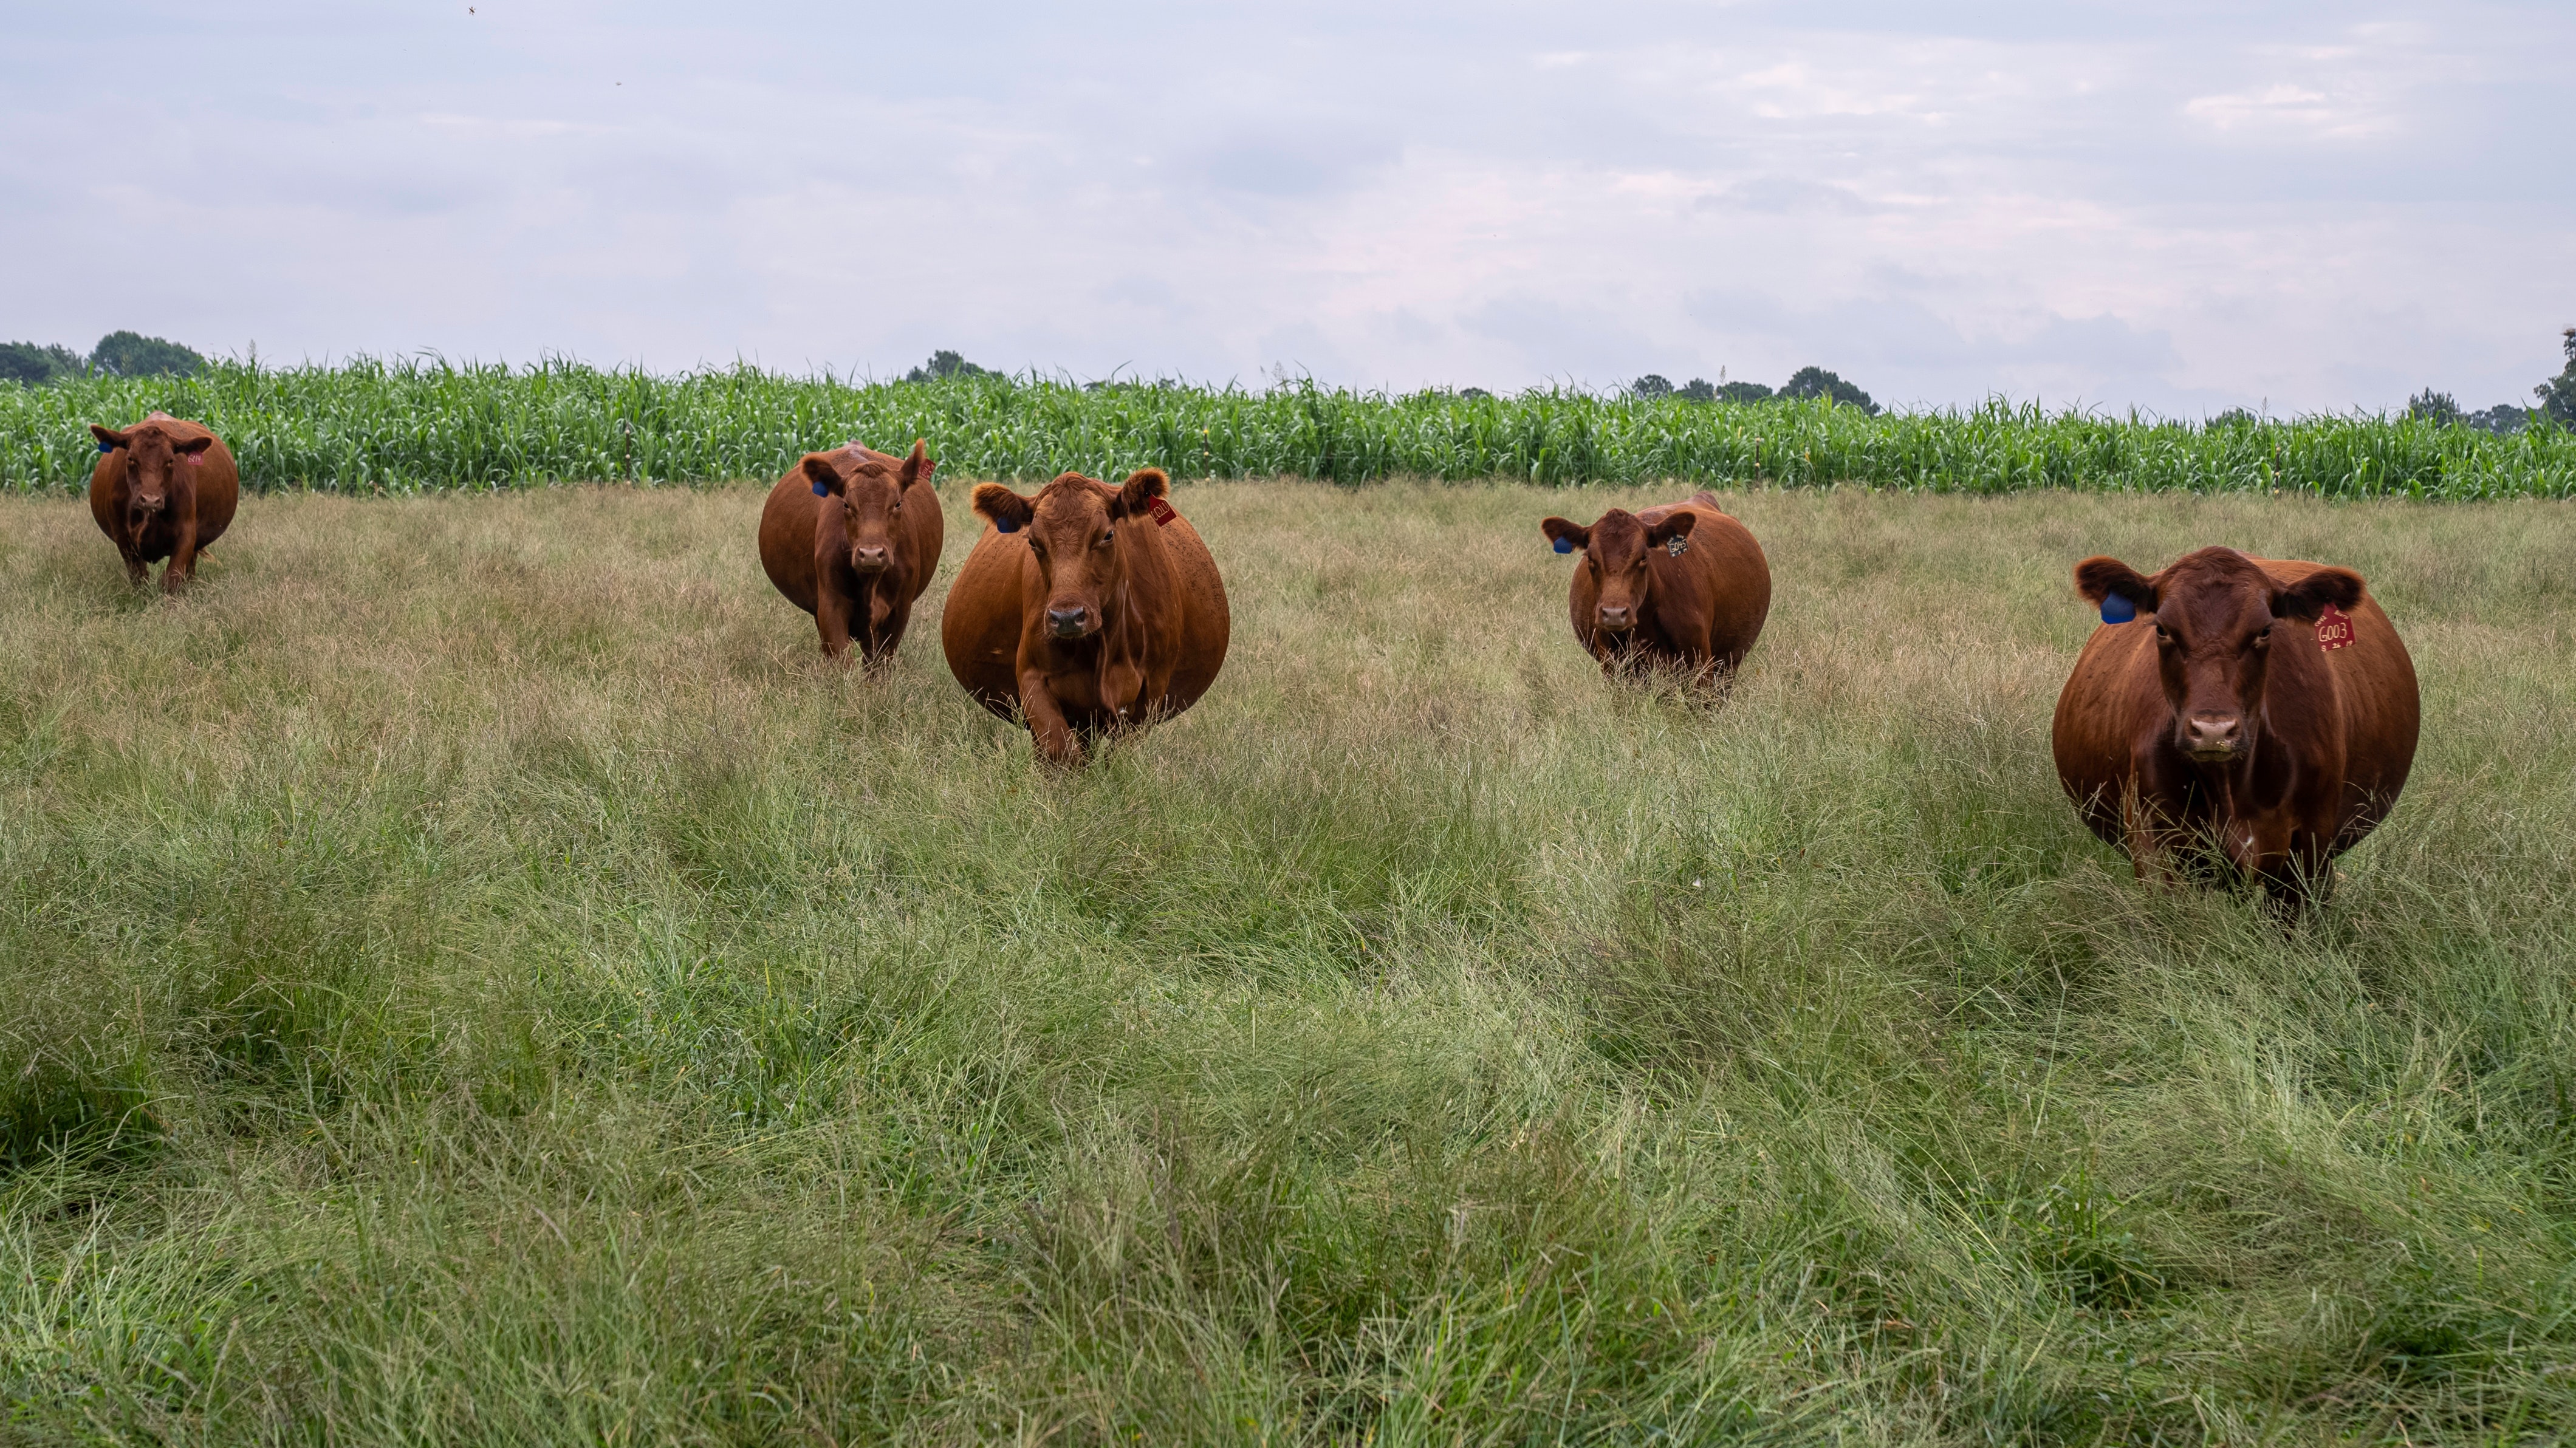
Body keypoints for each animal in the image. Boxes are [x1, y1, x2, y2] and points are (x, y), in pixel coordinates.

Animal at [88, 409, 239, 590]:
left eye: (170, 461)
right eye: (130, 458)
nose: (150, 500)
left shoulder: (187, 534)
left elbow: (172, 579)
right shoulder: (122, 536)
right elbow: (139, 578)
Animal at [752, 440, 948, 664]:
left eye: (898, 504)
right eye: (846, 504)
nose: (871, 554)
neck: (870, 583)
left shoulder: (899, 611)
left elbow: (879, 664)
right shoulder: (831, 606)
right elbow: (840, 660)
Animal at [942, 471, 1231, 768]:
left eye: (1108, 535)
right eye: (1033, 542)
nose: (1067, 618)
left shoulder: (1152, 688)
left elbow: (1119, 758)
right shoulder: (1032, 678)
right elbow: (1061, 751)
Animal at [1525, 489, 1772, 680]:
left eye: (1644, 556)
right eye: (1590, 558)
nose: (1614, 614)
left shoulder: (1700, 664)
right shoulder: (1615, 667)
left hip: (1728, 662)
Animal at [2050, 541, 2411, 901]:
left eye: (2265, 631)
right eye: (2162, 629)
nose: (2213, 732)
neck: (2229, 788)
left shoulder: (2310, 850)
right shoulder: (2151, 837)